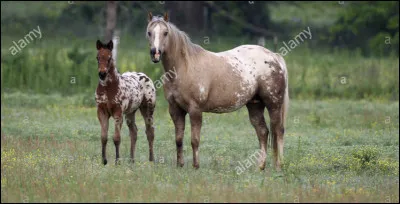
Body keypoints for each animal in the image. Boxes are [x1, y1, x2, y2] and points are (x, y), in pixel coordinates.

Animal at [145, 11, 290, 170]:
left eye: (165, 33)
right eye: (149, 32)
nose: (155, 53)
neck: (184, 67)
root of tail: (274, 56)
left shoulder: (195, 110)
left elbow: (194, 140)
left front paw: (196, 166)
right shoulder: (175, 110)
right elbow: (178, 139)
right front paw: (180, 165)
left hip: (273, 105)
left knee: (278, 131)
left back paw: (278, 166)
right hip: (255, 105)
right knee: (263, 132)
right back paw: (260, 167)